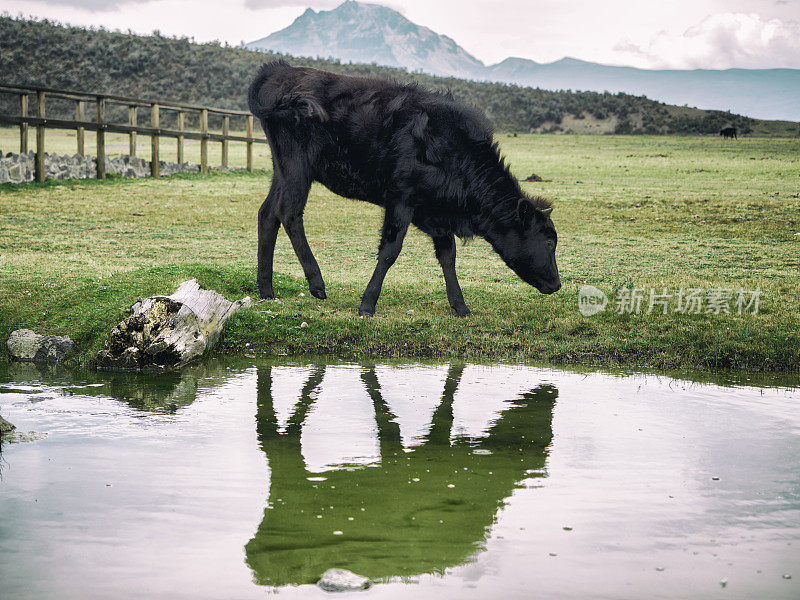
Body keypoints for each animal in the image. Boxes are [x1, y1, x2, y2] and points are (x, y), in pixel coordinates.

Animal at [247, 61, 560, 316]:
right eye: (548, 242)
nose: (557, 284)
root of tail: (278, 71)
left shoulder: (435, 214)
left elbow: (448, 256)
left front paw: (460, 306)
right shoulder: (401, 200)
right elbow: (390, 250)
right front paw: (367, 304)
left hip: (282, 169)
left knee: (267, 214)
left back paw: (266, 290)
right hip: (298, 167)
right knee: (289, 213)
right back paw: (316, 282)